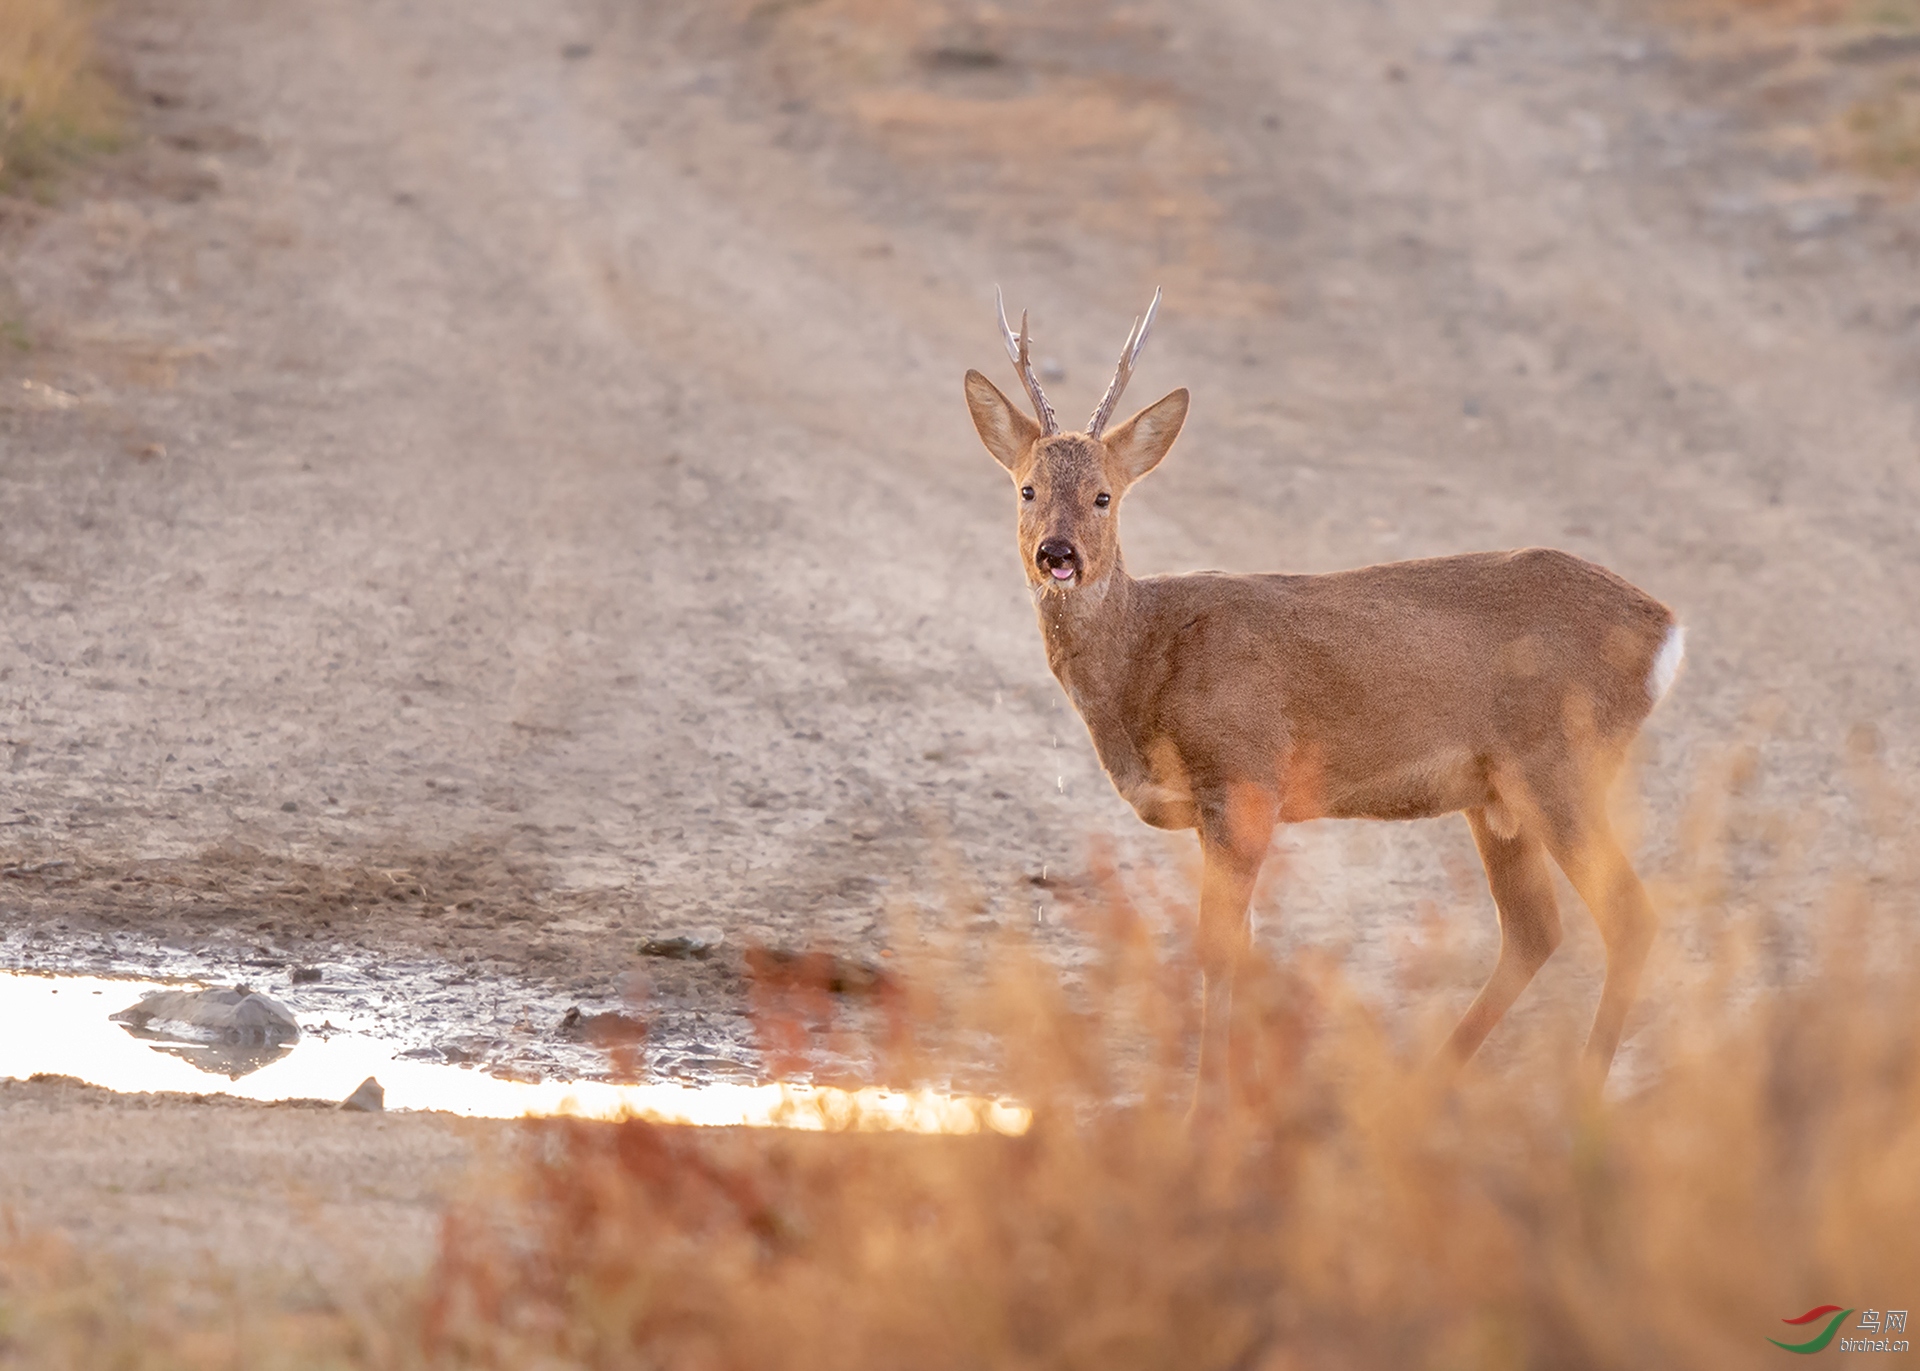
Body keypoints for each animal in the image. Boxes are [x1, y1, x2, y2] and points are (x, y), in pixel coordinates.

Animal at [967, 288, 1674, 1098]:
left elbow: (1217, 951)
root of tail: (1664, 630)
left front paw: (1204, 1108)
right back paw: (1426, 1085)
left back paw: (1577, 1094)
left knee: (1628, 915)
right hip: (1496, 795)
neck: (1146, 659)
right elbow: (1242, 949)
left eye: (1103, 496)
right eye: (1026, 488)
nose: (1058, 554)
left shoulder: (1244, 776)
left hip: (1560, 762)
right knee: (1535, 928)